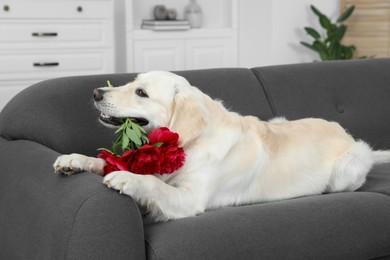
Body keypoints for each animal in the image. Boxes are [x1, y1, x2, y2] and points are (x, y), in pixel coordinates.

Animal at [53, 71, 390, 221]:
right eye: (133, 82)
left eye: (141, 92)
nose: (96, 92)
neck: (191, 143)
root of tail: (345, 133)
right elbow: (107, 160)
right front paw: (74, 160)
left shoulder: (190, 199)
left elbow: (152, 183)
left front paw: (127, 178)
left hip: (346, 171)